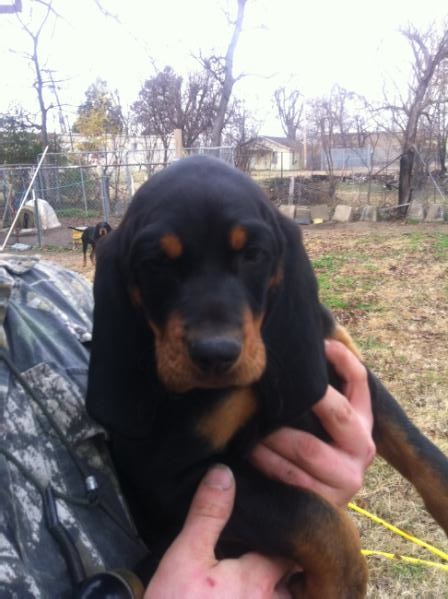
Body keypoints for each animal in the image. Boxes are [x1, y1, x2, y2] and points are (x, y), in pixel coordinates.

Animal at [86, 156, 448, 599]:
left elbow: (420, 451)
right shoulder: (169, 477)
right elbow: (319, 520)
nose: (215, 354)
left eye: (253, 254)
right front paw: (338, 584)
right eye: (156, 262)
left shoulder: (348, 368)